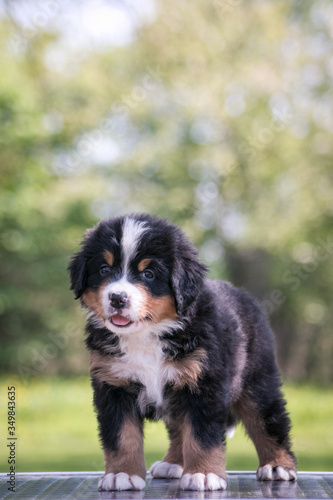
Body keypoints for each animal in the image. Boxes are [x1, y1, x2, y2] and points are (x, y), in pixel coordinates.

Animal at [68, 212, 296, 492]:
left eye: (149, 274)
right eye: (104, 269)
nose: (117, 298)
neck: (149, 333)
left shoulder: (204, 383)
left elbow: (201, 435)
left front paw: (203, 473)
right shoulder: (114, 384)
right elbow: (122, 436)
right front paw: (122, 473)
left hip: (256, 381)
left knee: (269, 422)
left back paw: (278, 465)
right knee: (178, 428)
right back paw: (173, 463)